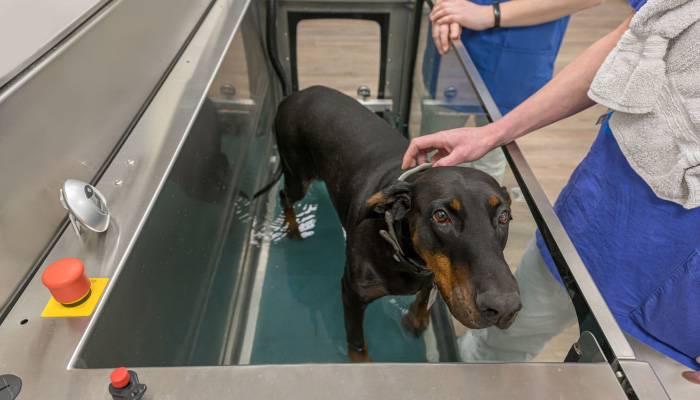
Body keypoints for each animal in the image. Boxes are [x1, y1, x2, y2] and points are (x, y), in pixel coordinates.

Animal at [272, 86, 520, 360]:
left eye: (504, 216)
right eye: (441, 216)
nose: (504, 307)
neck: (404, 255)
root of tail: (295, 94)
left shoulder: (431, 276)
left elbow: (424, 300)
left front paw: (417, 320)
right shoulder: (352, 295)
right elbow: (357, 346)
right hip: (297, 175)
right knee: (284, 196)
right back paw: (293, 229)